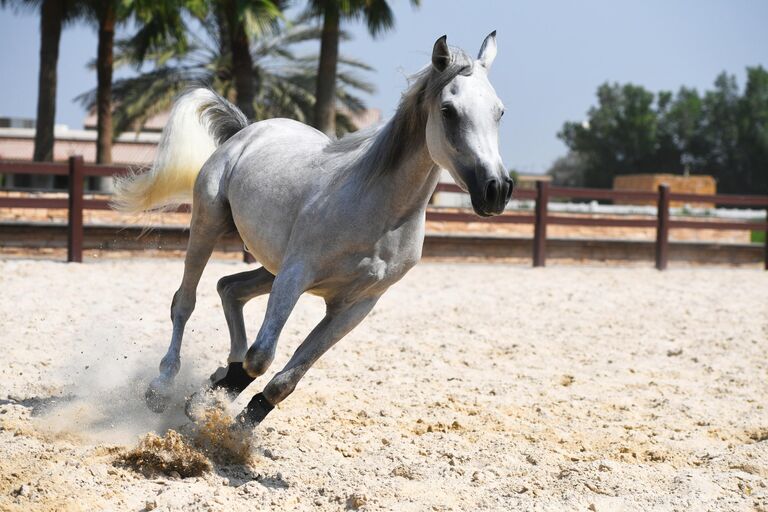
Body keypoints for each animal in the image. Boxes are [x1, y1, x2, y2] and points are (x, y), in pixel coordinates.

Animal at [114, 30, 510, 426]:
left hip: (271, 265)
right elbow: (261, 357)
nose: (496, 189)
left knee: (229, 288)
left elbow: (285, 380)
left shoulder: (355, 306)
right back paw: (162, 387)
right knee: (185, 301)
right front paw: (208, 403)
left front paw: (228, 418)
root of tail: (246, 131)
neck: (380, 214)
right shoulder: (296, 276)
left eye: (499, 111)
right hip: (209, 225)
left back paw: (215, 377)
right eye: (448, 110)